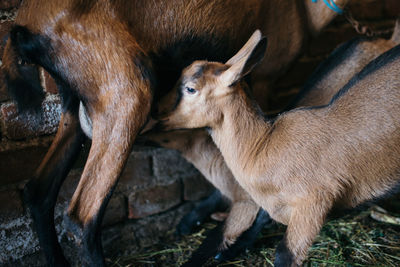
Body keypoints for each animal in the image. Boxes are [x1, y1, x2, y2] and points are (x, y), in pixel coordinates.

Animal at [0, 0, 346, 266]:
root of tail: (25, 25)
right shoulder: (263, 79)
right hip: (126, 96)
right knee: (81, 218)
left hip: (73, 107)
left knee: (39, 192)